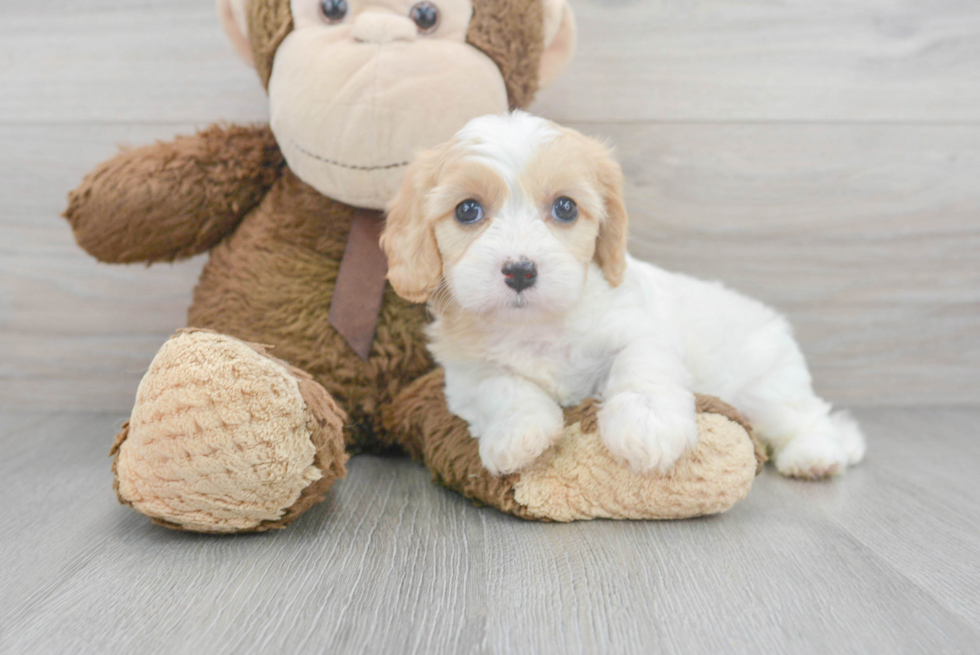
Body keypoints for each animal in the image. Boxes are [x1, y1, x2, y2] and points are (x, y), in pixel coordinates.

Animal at [380, 111, 864, 482]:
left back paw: (816, 455)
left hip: (767, 385)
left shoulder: (640, 329)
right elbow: (502, 387)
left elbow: (641, 369)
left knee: (807, 417)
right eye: (467, 210)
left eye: (565, 207)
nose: (520, 270)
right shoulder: (466, 374)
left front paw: (647, 427)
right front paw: (518, 435)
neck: (535, 324)